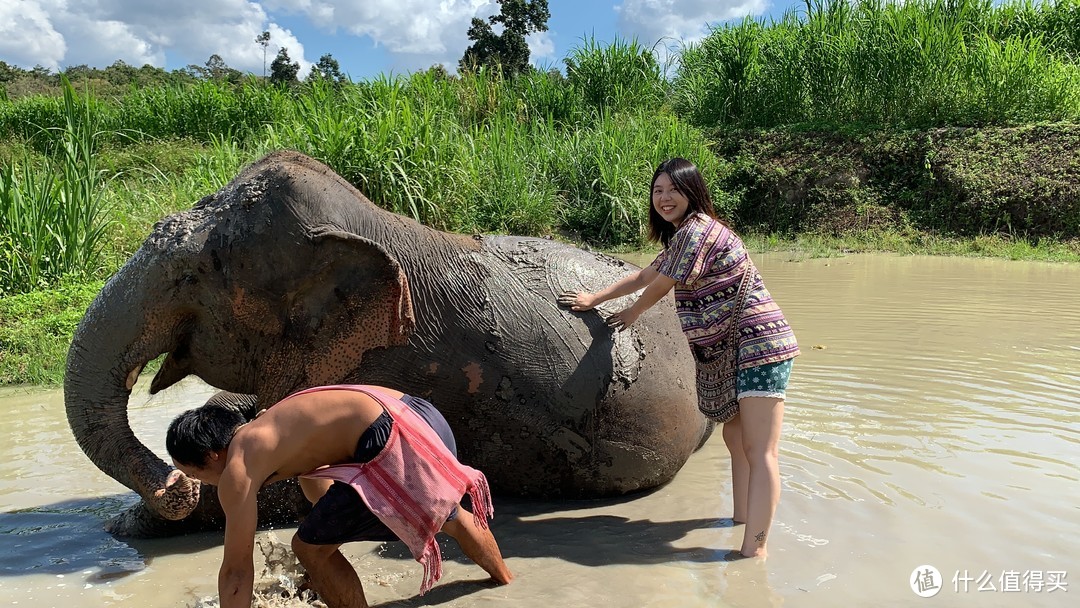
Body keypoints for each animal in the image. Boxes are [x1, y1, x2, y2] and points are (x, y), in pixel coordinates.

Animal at [65, 151, 708, 537]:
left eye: (196, 274)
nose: (172, 483)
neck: (373, 227)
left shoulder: (400, 365)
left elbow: (293, 485)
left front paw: (139, 520)